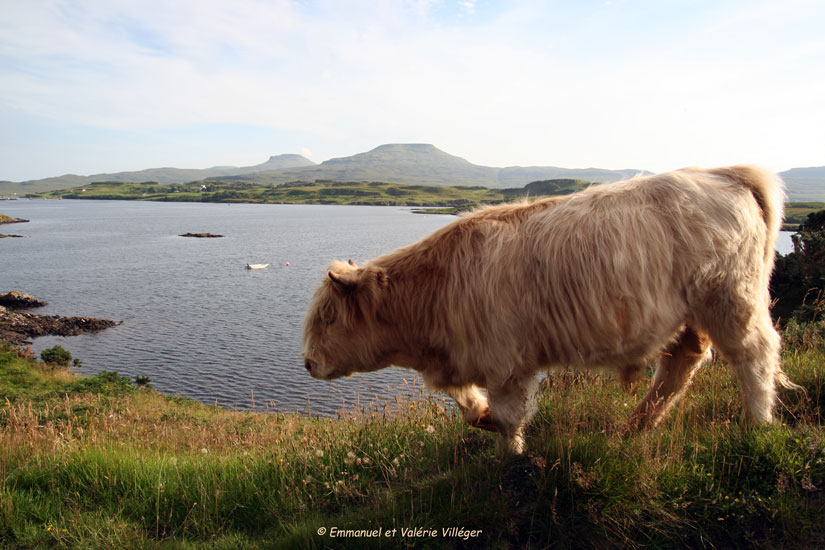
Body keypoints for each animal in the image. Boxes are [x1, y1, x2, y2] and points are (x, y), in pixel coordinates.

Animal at [302, 167, 800, 458]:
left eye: (327, 318)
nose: (306, 364)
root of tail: (725, 173)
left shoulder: (506, 363)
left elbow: (510, 416)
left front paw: (512, 461)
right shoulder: (466, 358)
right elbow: (470, 407)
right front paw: (484, 422)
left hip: (730, 297)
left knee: (754, 354)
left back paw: (757, 425)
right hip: (689, 314)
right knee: (682, 363)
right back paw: (633, 428)